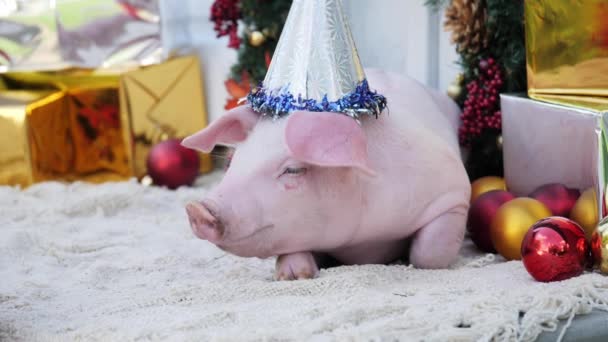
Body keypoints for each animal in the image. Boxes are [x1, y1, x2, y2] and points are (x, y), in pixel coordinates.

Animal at [180, 69, 470, 280]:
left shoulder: (454, 191)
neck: (362, 241)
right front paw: (295, 274)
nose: (197, 209)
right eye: (232, 161)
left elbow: (428, 255)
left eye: (293, 169)